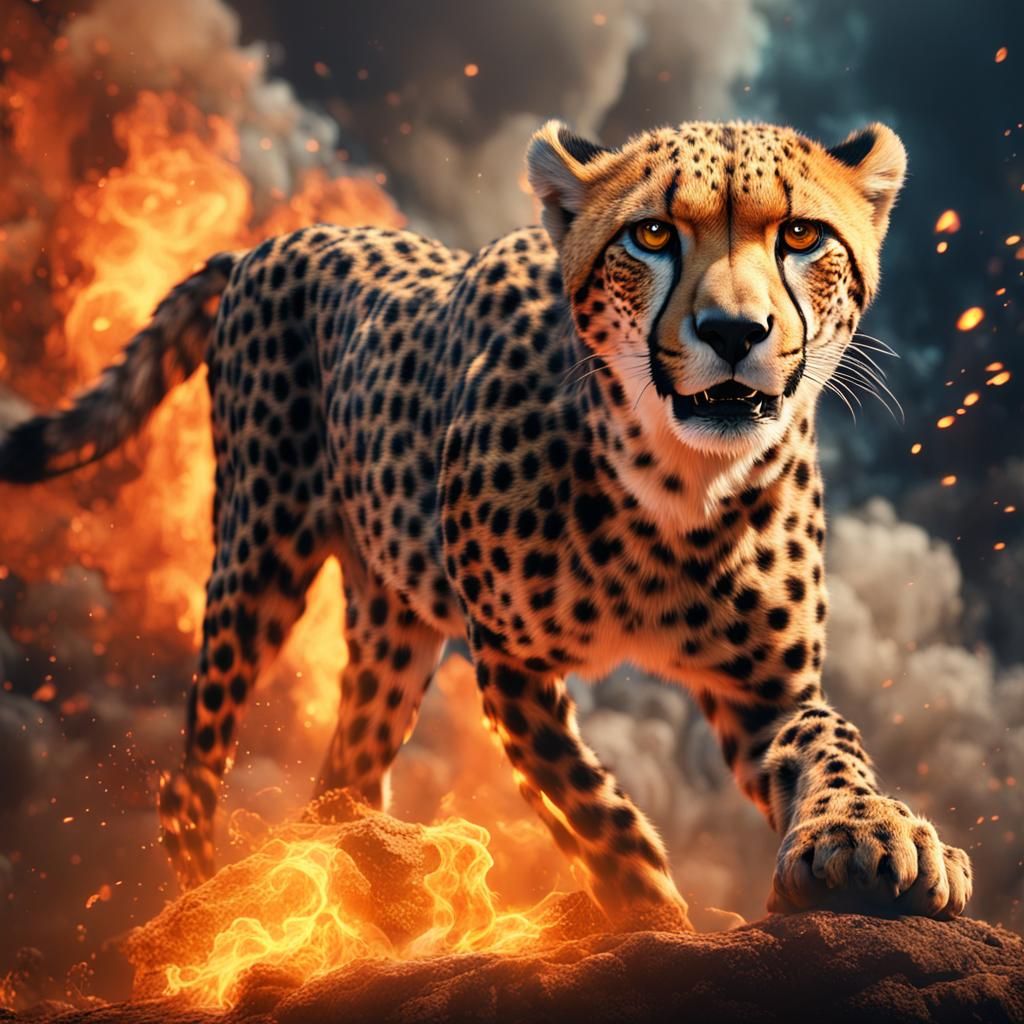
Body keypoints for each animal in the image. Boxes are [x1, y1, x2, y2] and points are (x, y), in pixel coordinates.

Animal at [0, 118, 972, 929]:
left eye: (801, 235)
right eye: (652, 235)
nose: (733, 330)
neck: (678, 489)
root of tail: (268, 244)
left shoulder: (762, 691)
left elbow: (831, 741)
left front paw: (874, 836)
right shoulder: (511, 661)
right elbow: (589, 805)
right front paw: (650, 908)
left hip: (392, 623)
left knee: (342, 777)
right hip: (257, 556)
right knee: (191, 774)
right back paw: (214, 905)